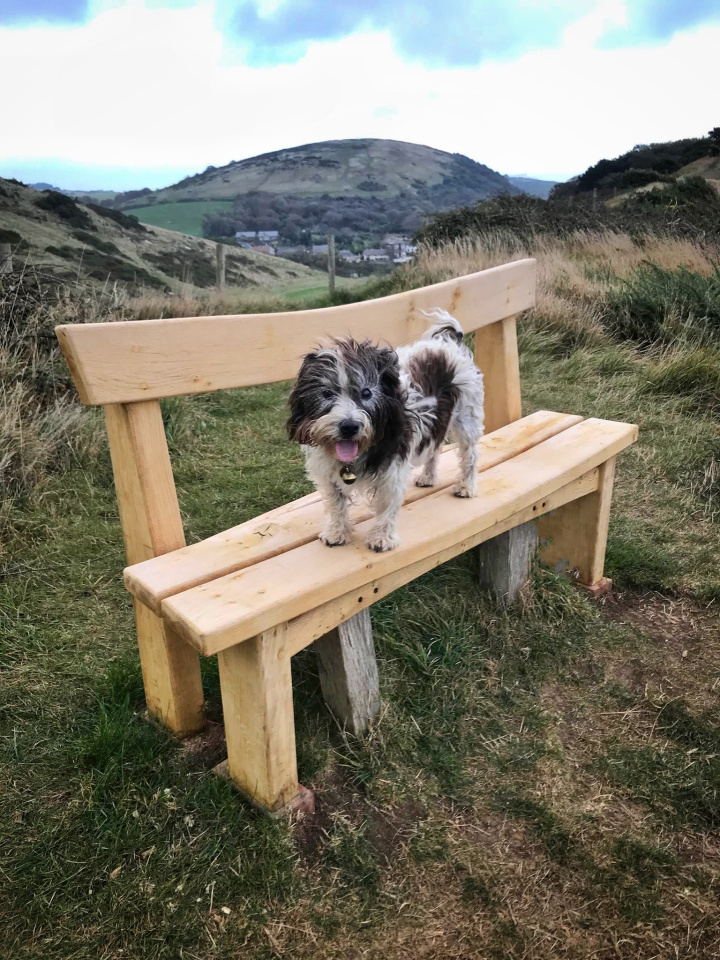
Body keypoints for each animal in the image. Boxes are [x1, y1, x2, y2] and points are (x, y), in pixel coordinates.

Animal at [286, 312, 484, 552]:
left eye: (366, 392)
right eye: (326, 393)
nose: (349, 426)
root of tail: (447, 342)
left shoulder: (393, 470)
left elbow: (387, 506)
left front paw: (382, 538)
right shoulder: (327, 474)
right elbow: (336, 503)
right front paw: (336, 532)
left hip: (467, 418)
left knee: (470, 454)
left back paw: (466, 486)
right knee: (435, 447)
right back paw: (428, 477)